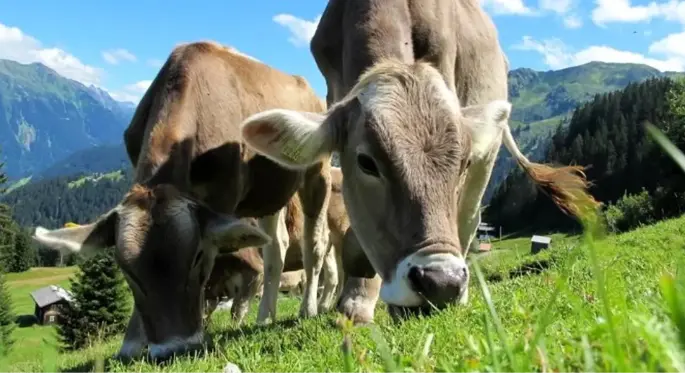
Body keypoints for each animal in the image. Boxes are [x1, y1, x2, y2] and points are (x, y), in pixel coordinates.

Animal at [28, 41, 332, 360]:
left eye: (197, 256)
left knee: (315, 241)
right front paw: (132, 343)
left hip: (317, 171)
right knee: (276, 246)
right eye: (126, 270)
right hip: (268, 193)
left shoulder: (223, 198)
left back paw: (308, 308)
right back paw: (265, 316)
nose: (174, 349)